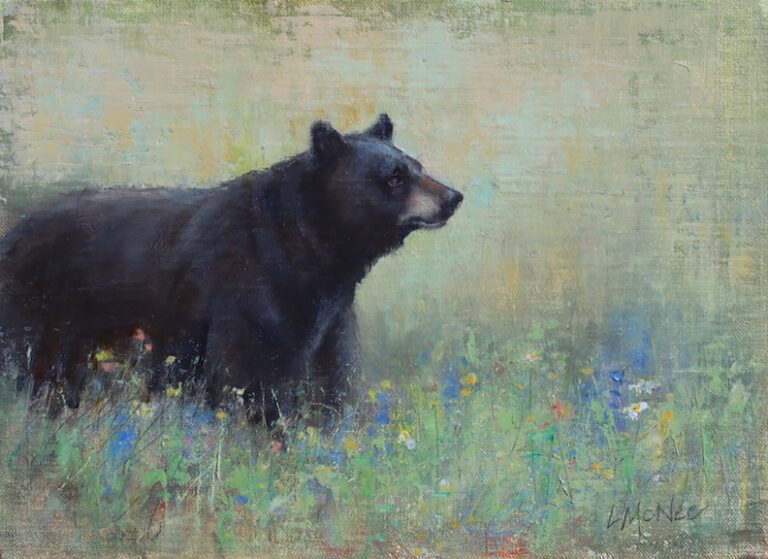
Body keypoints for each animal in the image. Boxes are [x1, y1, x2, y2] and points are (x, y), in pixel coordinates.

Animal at [0, 114, 463, 425]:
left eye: (418, 166)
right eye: (394, 177)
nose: (453, 197)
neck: (310, 254)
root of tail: (12, 233)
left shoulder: (328, 319)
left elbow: (331, 380)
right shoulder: (244, 299)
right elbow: (240, 379)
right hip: (38, 314)